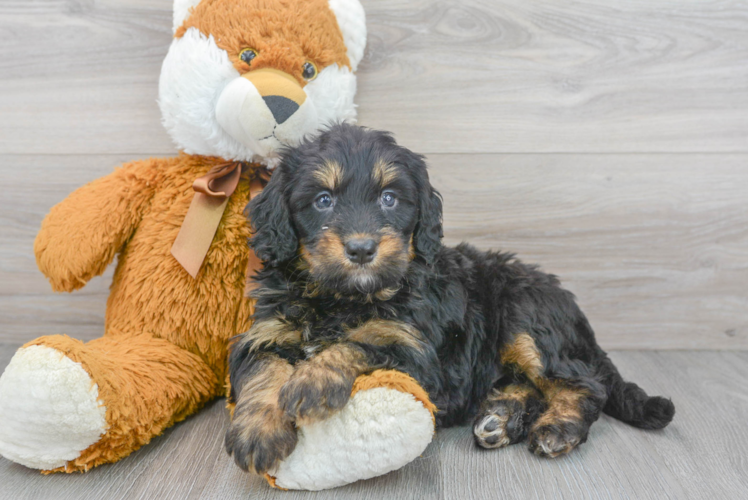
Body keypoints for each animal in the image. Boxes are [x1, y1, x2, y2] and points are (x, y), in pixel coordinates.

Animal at [225, 123, 676, 474]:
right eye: (323, 200)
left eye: (389, 198)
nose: (361, 248)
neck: (343, 298)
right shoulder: (265, 332)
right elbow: (263, 368)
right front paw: (258, 431)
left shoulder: (417, 354)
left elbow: (363, 341)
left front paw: (312, 380)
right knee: (527, 383)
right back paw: (501, 418)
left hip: (525, 317)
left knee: (584, 383)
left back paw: (557, 428)